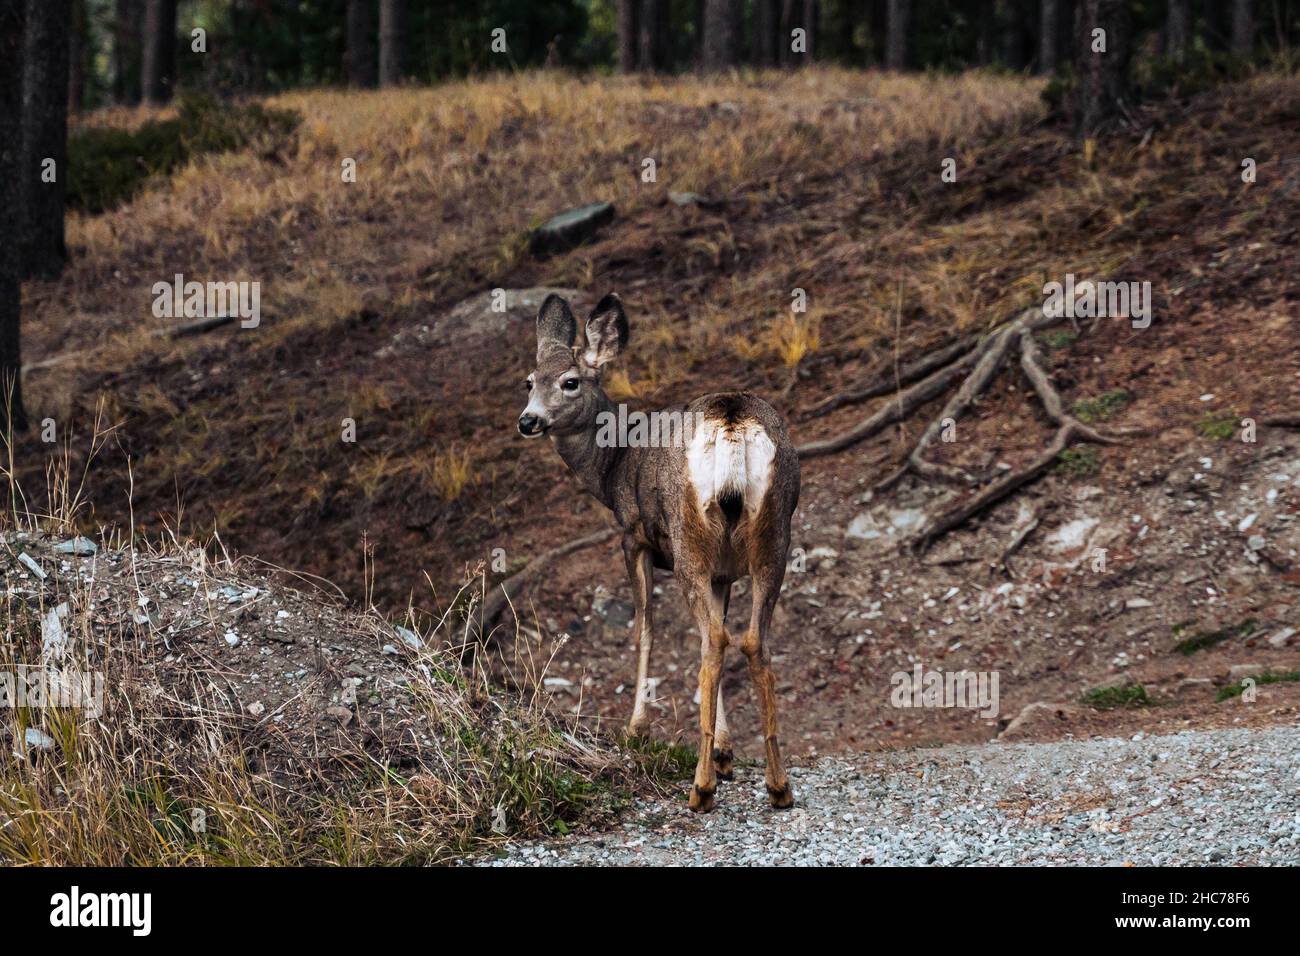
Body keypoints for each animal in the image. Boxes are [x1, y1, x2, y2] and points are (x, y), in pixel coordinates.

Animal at [517, 293, 800, 816]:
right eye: (529, 381)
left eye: (569, 381)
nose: (528, 420)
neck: (613, 465)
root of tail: (732, 422)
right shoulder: (724, 571)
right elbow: (715, 631)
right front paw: (725, 750)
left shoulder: (635, 536)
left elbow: (645, 630)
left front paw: (638, 730)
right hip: (774, 531)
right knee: (749, 639)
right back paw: (777, 785)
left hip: (688, 537)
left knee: (714, 640)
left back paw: (701, 788)